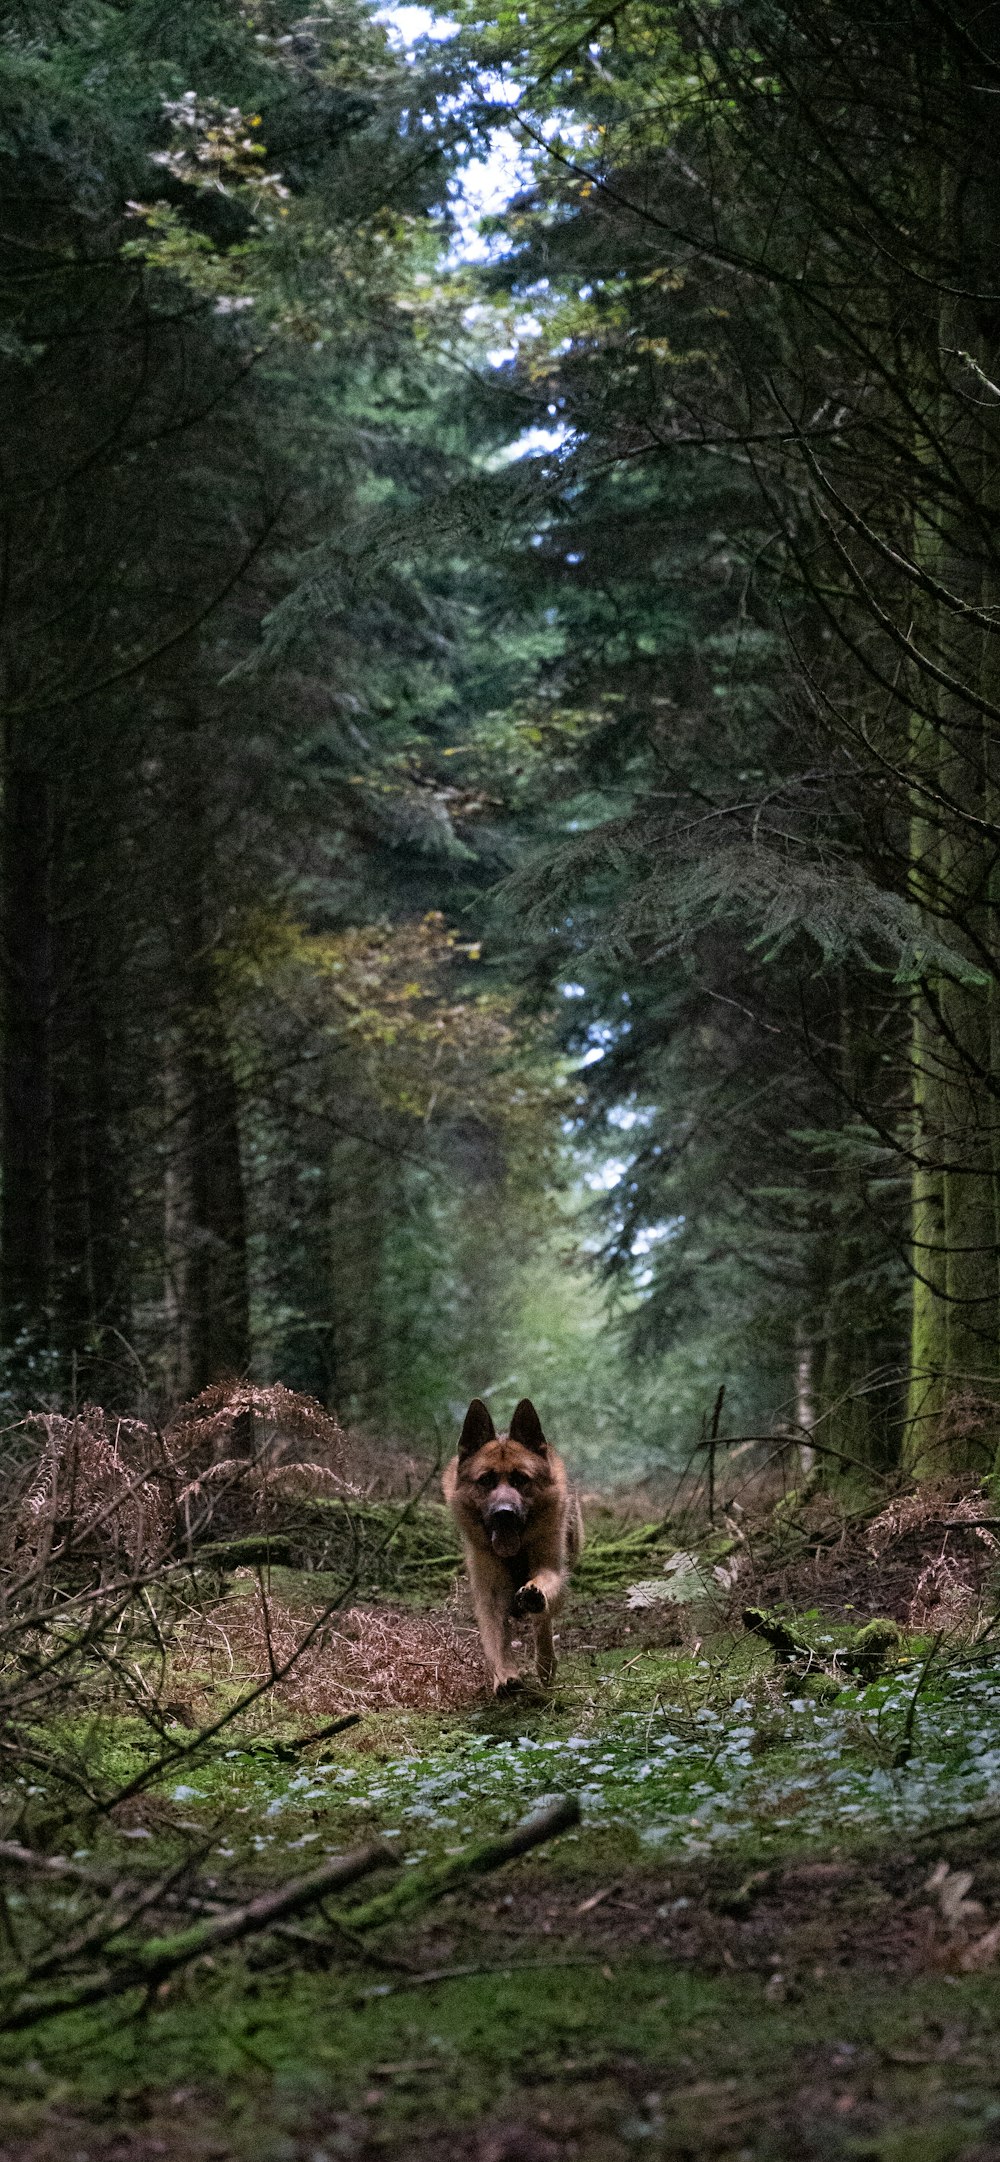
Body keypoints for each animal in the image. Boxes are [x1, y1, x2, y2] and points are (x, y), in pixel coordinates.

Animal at [442, 1392, 583, 1695]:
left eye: (520, 1479)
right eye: (486, 1480)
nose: (503, 1513)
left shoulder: (551, 1569)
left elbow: (544, 1602)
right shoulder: (490, 1593)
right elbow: (497, 1638)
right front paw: (505, 1675)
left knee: (542, 1621)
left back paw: (545, 1663)